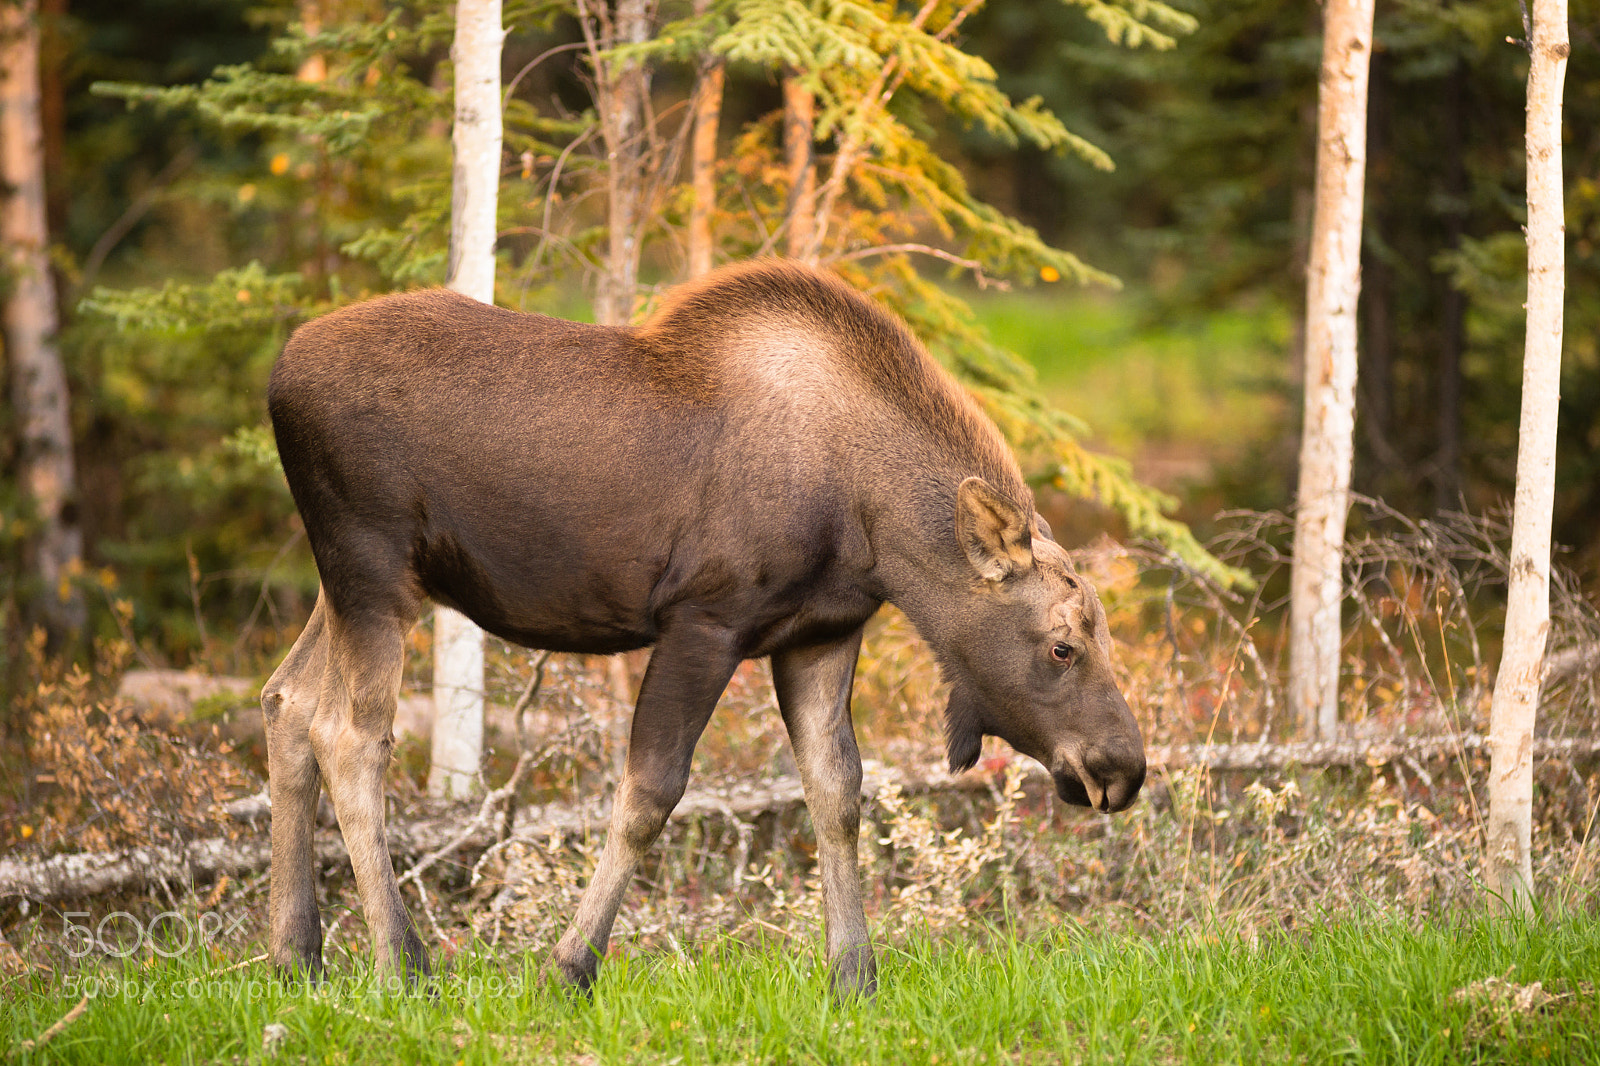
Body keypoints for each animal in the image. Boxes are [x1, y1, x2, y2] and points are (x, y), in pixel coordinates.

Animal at [260, 259, 1145, 998]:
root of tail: (276, 376)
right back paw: (401, 966)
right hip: (372, 568)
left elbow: (836, 794)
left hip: (344, 582)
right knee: (348, 733)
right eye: (1062, 645)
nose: (1123, 770)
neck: (873, 530)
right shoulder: (703, 621)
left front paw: (853, 976)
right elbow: (650, 793)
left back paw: (296, 956)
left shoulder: (820, 635)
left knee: (286, 699)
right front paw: (567, 968)